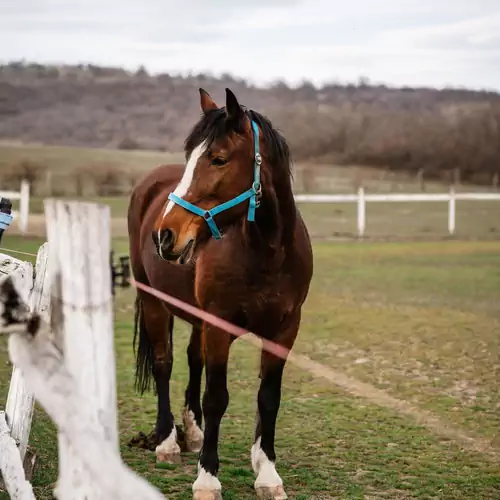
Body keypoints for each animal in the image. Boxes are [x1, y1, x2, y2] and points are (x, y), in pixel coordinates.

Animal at [127, 88, 312, 498]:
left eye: (219, 158)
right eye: (190, 156)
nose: (165, 235)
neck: (267, 253)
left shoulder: (285, 330)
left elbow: (268, 399)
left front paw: (267, 472)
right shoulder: (219, 326)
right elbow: (216, 398)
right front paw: (207, 477)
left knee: (192, 359)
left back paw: (193, 432)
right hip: (154, 301)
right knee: (164, 364)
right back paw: (168, 442)